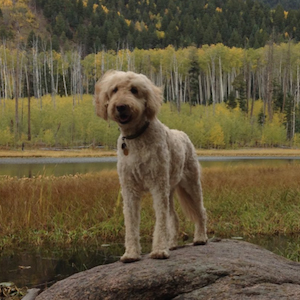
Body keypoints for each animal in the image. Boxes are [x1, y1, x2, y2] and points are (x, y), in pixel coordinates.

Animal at [95, 70, 207, 262]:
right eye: (114, 89)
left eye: (134, 90)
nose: (121, 106)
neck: (136, 138)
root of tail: (183, 134)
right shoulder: (129, 189)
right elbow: (131, 223)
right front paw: (131, 253)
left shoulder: (157, 185)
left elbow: (160, 221)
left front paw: (159, 250)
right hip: (170, 190)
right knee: (174, 218)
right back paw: (172, 243)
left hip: (191, 184)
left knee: (200, 211)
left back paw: (200, 238)